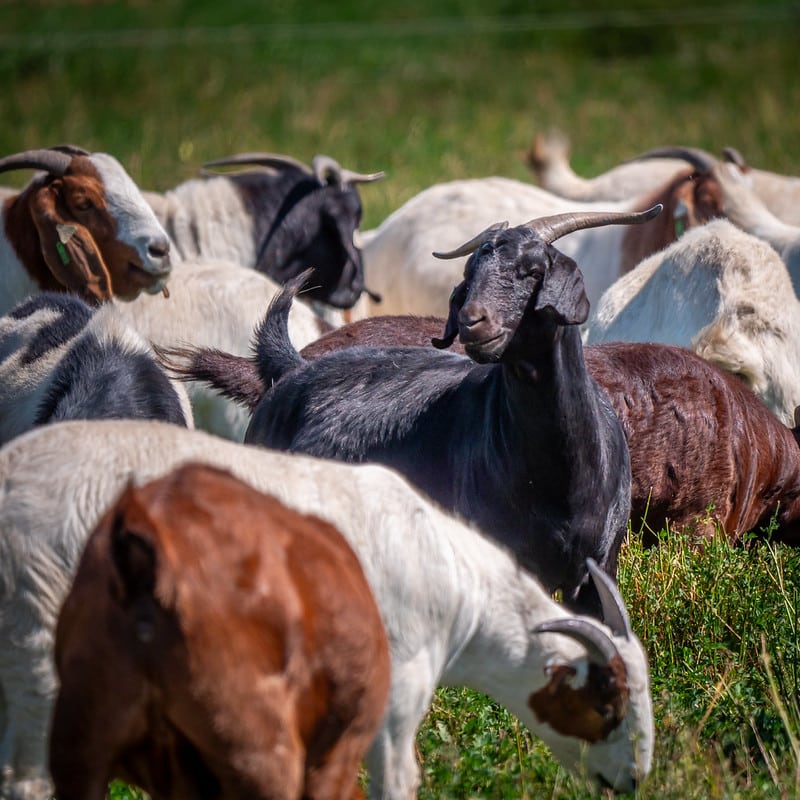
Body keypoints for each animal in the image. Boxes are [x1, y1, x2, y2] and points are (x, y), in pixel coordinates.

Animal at [214, 208, 664, 616]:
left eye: (532, 271)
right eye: (470, 274)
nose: (472, 321)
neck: (562, 477)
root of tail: (292, 368)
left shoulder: (599, 571)